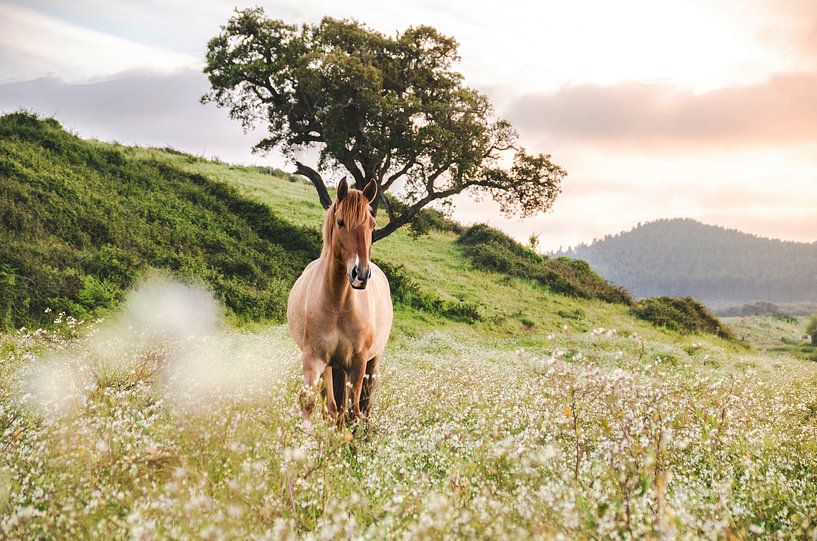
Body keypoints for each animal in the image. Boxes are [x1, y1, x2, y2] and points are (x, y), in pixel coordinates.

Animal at [287, 177, 393, 425]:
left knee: (365, 406)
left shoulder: (358, 363)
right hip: (332, 367)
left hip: (372, 363)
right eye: (341, 222)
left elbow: (354, 411)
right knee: (334, 409)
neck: (339, 303)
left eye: (372, 225)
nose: (360, 274)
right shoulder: (314, 359)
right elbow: (312, 404)